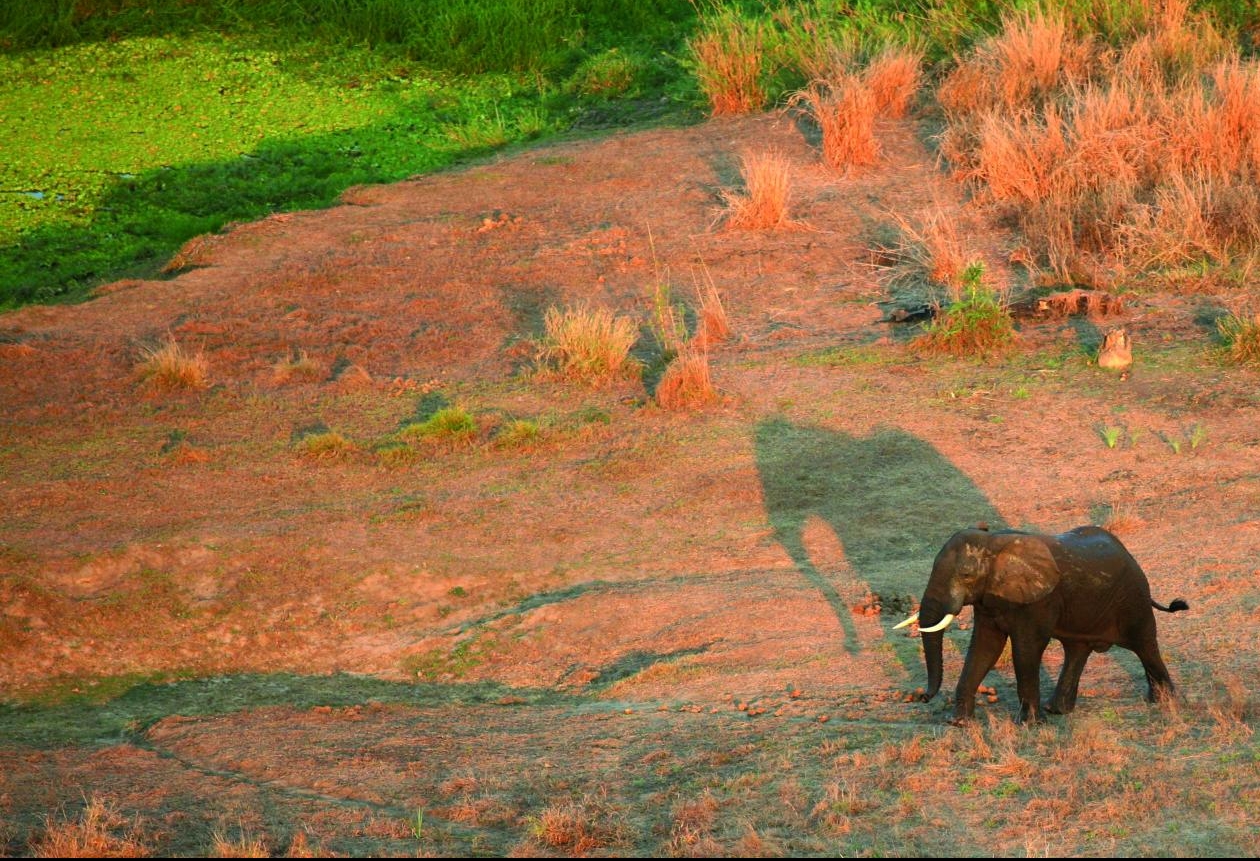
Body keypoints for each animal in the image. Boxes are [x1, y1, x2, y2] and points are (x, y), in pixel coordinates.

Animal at [892, 521, 1184, 726]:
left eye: (966, 575)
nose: (923, 697)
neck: (994, 543)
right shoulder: (988, 600)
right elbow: (984, 648)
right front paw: (958, 723)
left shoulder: (1039, 600)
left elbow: (1026, 649)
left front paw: (1030, 725)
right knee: (1077, 650)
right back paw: (1057, 710)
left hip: (1133, 598)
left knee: (1145, 645)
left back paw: (1165, 702)